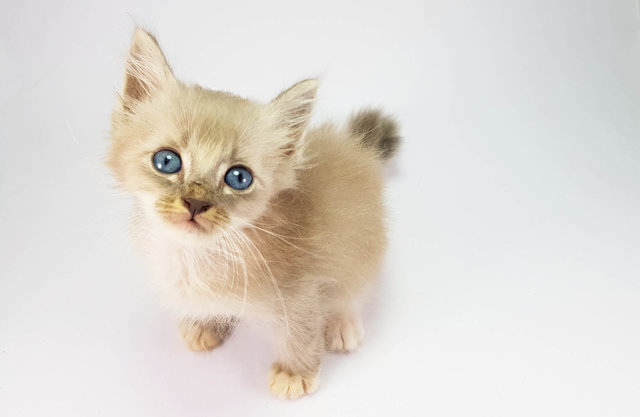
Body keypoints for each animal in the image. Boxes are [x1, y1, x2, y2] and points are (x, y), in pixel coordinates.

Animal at [109, 27, 400, 398]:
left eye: (238, 177)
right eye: (167, 161)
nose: (195, 203)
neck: (198, 256)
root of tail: (357, 146)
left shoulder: (302, 289)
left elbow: (302, 330)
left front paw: (295, 372)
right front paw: (206, 324)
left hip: (361, 247)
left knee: (352, 289)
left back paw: (341, 323)